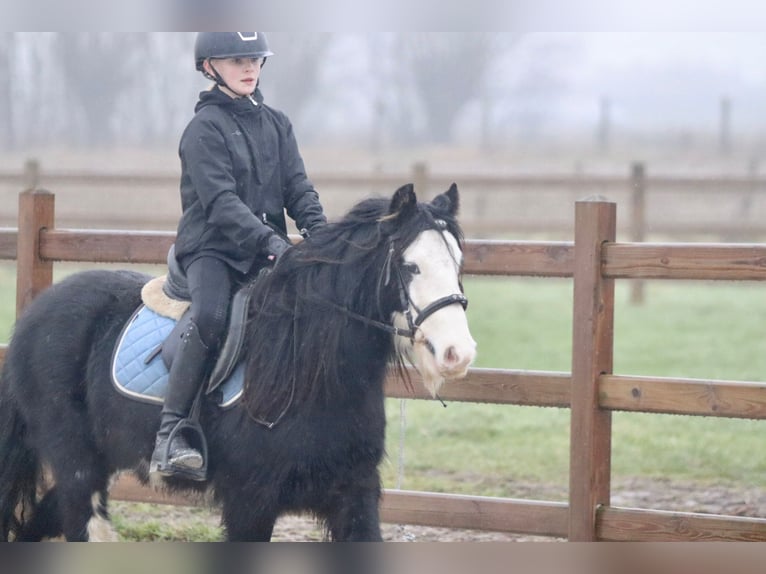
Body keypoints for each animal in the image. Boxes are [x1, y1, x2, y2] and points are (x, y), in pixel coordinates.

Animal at [0, 186, 476, 544]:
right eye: (410, 267)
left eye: (457, 263)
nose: (458, 353)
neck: (309, 371)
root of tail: (33, 317)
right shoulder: (251, 502)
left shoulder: (353, 497)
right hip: (77, 463)